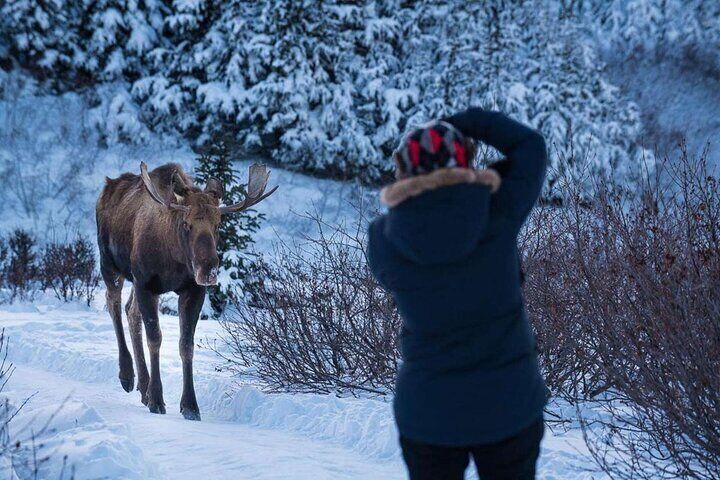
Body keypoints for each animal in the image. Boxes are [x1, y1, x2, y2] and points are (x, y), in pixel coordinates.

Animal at [96, 162, 277, 420]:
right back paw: (128, 376)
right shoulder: (145, 283)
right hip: (110, 263)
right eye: (186, 224)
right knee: (114, 304)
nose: (208, 269)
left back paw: (143, 386)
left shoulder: (193, 290)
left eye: (218, 224)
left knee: (131, 312)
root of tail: (107, 187)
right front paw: (157, 400)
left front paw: (190, 405)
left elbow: (186, 345)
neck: (174, 259)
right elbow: (155, 339)